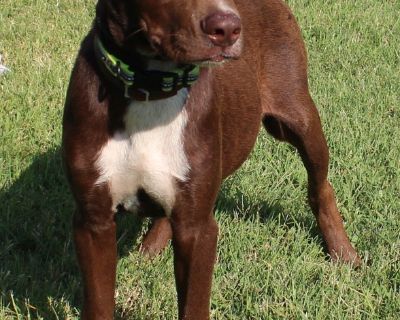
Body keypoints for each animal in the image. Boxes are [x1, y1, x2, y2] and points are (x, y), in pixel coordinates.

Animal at [61, 0, 360, 318]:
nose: (227, 30)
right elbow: (99, 302)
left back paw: (343, 251)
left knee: (321, 186)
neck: (152, 91)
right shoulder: (93, 222)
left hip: (298, 117)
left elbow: (193, 303)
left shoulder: (199, 228)